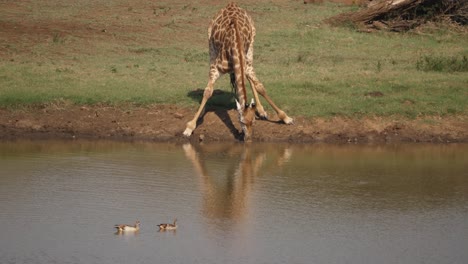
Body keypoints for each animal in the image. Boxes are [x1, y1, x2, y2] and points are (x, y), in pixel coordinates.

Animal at [184, 2, 290, 142]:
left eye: (254, 122)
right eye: (242, 122)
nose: (248, 139)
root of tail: (231, 4)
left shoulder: (246, 66)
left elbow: (260, 87)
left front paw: (285, 117)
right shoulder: (216, 68)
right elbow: (207, 92)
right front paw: (189, 127)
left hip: (251, 45)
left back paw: (261, 110)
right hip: (211, 45)